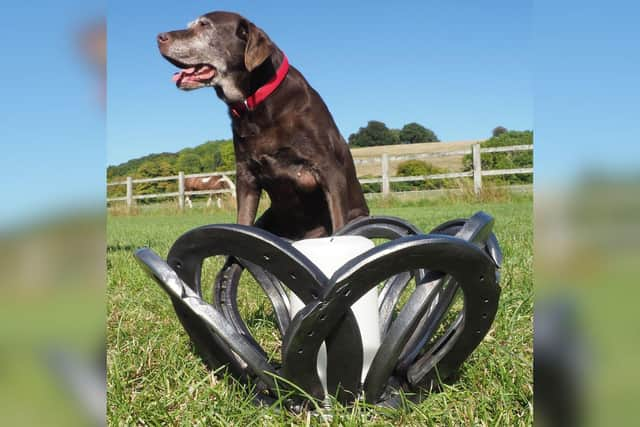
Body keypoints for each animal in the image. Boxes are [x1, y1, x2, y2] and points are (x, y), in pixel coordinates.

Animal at [158, 10, 370, 241]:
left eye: (205, 25)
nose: (159, 37)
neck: (254, 103)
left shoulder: (330, 171)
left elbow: (339, 224)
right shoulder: (246, 177)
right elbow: (242, 222)